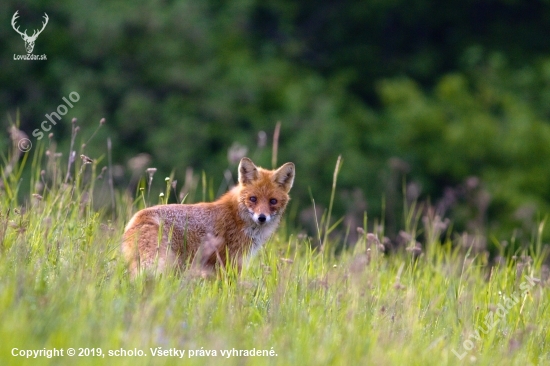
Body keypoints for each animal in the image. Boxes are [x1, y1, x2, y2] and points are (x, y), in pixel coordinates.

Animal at [122, 158, 296, 278]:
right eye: (253, 199)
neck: (237, 217)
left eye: (273, 201)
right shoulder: (230, 262)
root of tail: (138, 218)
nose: (262, 218)